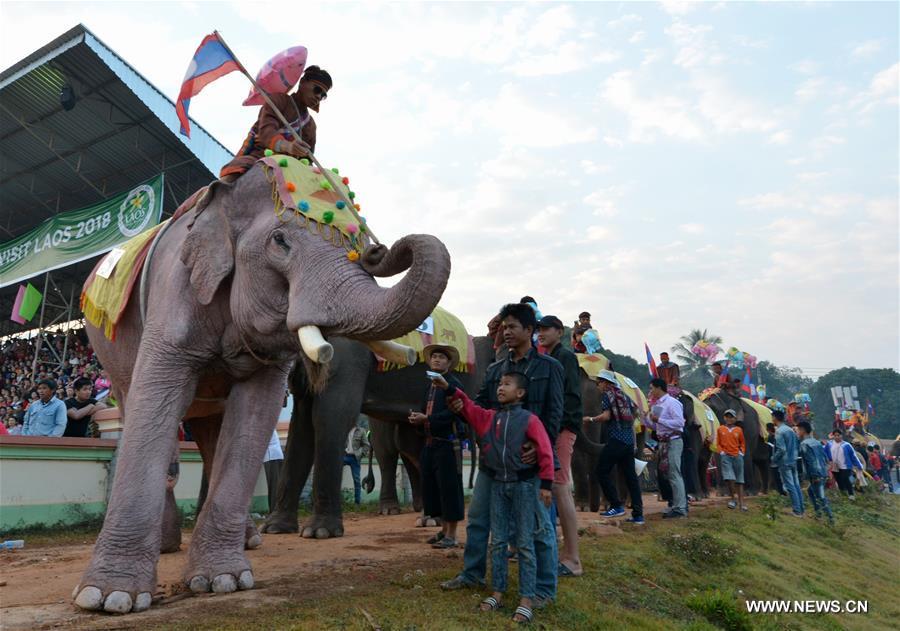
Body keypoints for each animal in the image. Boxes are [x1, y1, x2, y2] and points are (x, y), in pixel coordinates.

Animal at [72, 165, 450, 616]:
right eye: (280, 242)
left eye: (357, 245)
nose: (378, 250)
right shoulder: (174, 295)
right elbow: (155, 409)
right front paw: (107, 598)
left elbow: (254, 415)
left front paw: (223, 581)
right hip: (111, 355)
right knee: (144, 416)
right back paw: (169, 546)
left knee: (212, 436)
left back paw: (248, 540)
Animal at [264, 336, 496, 540]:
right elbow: (301, 425)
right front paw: (275, 529)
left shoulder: (346, 356)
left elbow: (332, 415)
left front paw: (319, 533)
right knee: (409, 446)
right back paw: (426, 517)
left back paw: (434, 518)